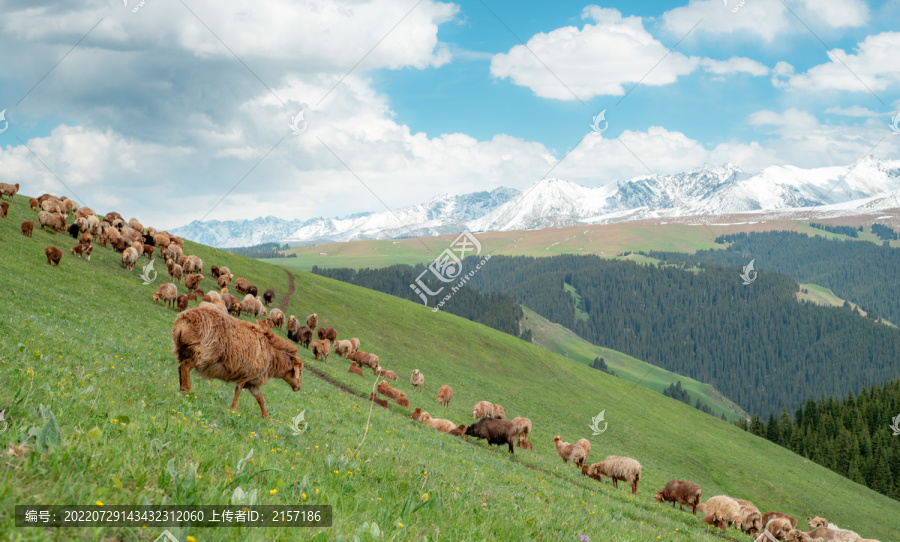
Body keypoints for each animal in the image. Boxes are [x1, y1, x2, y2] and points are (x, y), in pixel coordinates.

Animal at [171, 308, 304, 418]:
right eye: (301, 371)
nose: (298, 387)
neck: (272, 355)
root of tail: (184, 319)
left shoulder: (252, 382)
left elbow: (260, 399)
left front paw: (266, 418)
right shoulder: (247, 375)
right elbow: (238, 391)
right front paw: (233, 409)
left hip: (183, 351)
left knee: (180, 368)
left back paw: (181, 389)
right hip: (202, 354)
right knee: (185, 366)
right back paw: (186, 390)